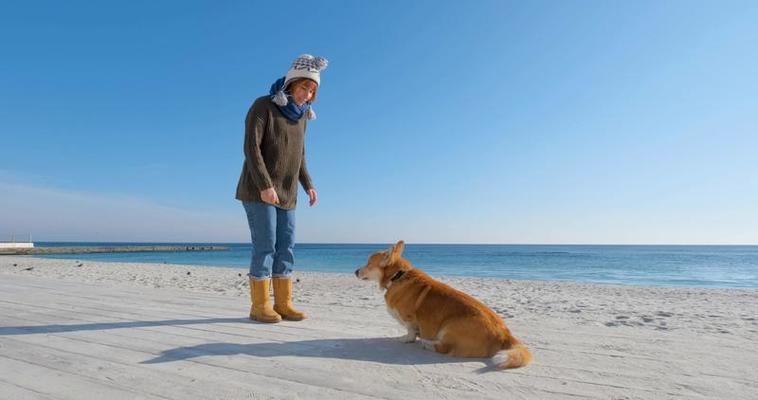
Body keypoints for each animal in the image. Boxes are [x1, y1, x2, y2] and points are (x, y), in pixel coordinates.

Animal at [358, 241, 532, 368]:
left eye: (368, 263)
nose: (355, 271)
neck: (397, 276)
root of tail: (505, 334)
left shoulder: (409, 318)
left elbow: (410, 331)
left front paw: (406, 339)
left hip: (450, 326)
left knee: (445, 348)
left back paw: (427, 344)